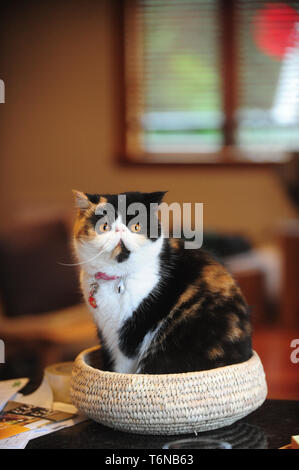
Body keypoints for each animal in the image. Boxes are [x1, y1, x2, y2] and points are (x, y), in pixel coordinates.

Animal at [73, 191, 253, 374]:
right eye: (104, 227)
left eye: (136, 227)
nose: (120, 229)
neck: (117, 278)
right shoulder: (105, 334)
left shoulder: (131, 335)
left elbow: (123, 368)